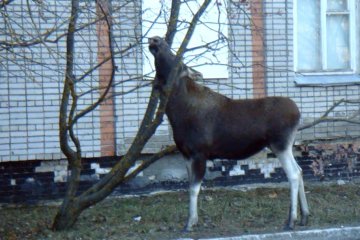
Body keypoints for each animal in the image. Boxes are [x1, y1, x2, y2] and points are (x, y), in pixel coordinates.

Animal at [149, 36, 310, 232]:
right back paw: (304, 216)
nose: (156, 39)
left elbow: (194, 189)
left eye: (176, 60)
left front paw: (189, 223)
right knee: (300, 171)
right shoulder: (186, 154)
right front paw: (192, 220)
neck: (177, 113)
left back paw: (291, 220)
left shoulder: (199, 154)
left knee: (293, 174)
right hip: (285, 146)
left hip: (280, 145)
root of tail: (298, 113)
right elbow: (189, 187)